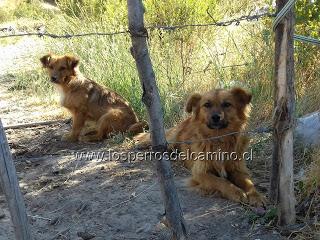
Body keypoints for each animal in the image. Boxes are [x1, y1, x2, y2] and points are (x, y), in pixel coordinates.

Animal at [136, 87, 266, 206]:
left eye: (227, 104)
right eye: (207, 105)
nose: (216, 117)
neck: (219, 139)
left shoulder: (238, 169)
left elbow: (248, 182)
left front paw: (256, 196)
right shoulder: (200, 172)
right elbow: (220, 181)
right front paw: (236, 192)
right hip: (172, 138)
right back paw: (143, 145)